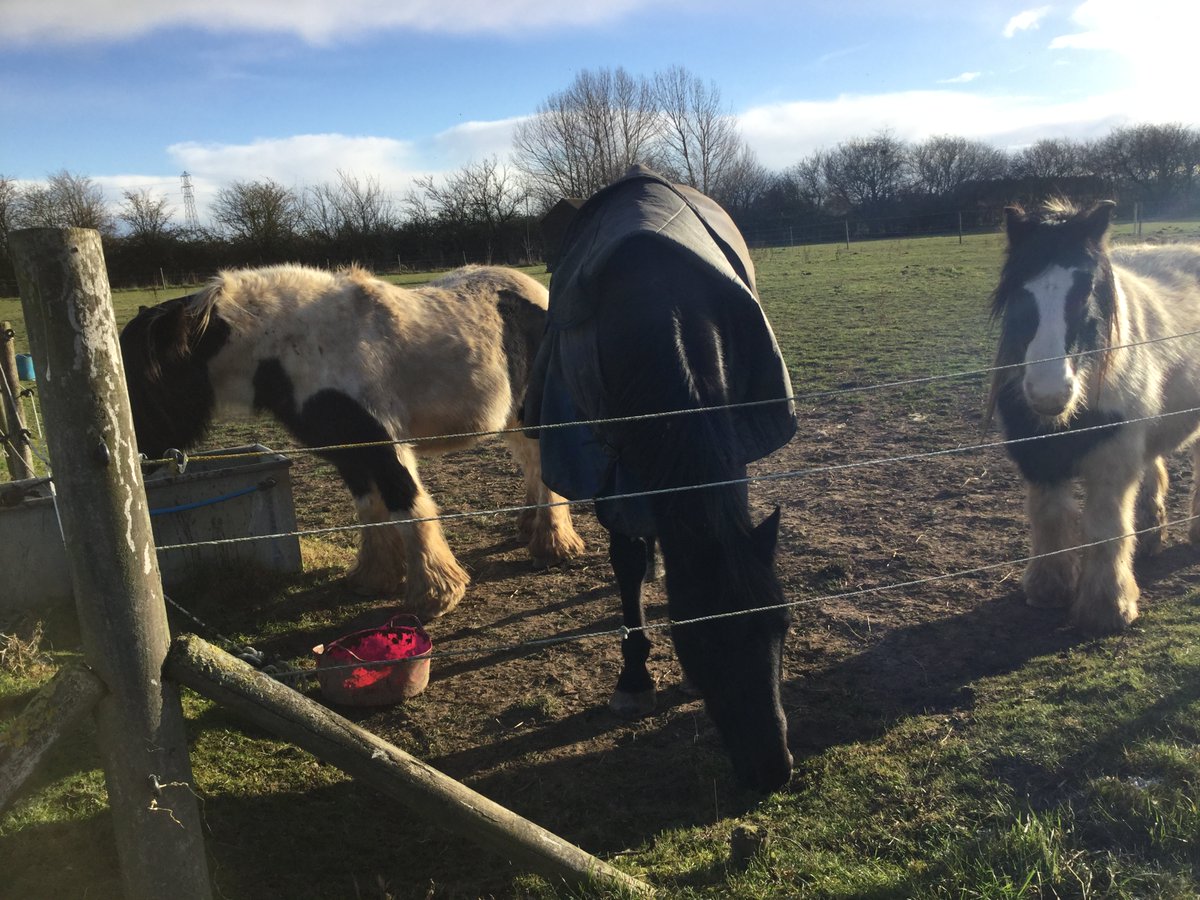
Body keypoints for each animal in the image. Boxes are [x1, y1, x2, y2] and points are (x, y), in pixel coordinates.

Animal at [119, 263, 585, 621]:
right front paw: (374, 578)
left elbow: (409, 508)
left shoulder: (384, 447)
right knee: (531, 464)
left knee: (543, 466)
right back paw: (531, 527)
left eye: (137, 381)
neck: (299, 349)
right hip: (511, 418)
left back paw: (552, 545)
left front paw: (435, 594)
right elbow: (371, 513)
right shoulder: (351, 456)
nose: (138, 456)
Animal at [525, 166, 797, 792]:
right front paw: (634, 680)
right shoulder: (610, 461)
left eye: (782, 625)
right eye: (703, 637)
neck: (659, 306)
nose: (772, 770)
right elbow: (625, 560)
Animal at [988, 199, 1200, 634]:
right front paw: (1047, 589)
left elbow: (1106, 529)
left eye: (1085, 290)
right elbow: (1050, 518)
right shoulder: (1039, 457)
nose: (1049, 392)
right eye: (1019, 290)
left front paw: (1107, 608)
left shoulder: (1112, 460)